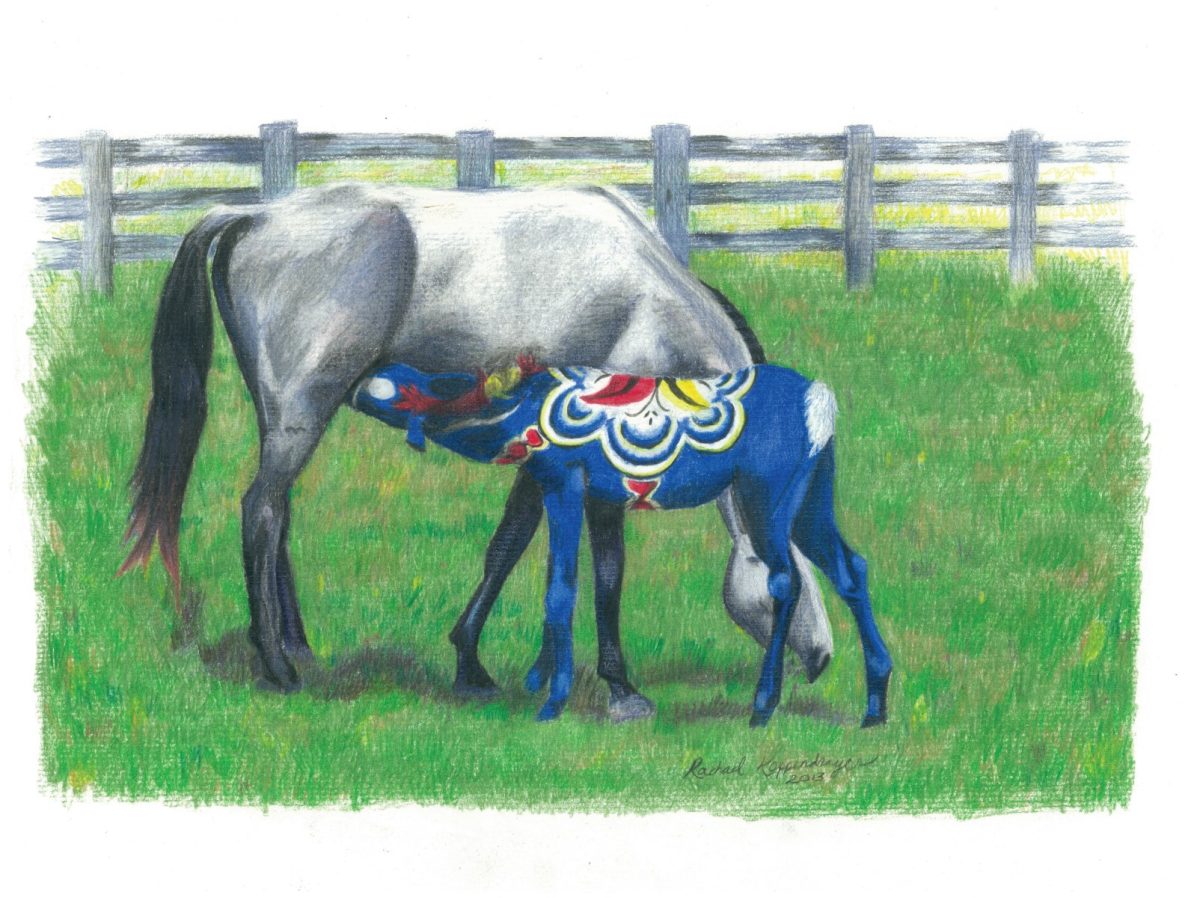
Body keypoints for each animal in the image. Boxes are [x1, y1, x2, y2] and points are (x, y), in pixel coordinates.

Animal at [118, 183, 835, 719]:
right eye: (790, 584)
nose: (825, 658)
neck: (644, 299)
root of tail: (253, 214)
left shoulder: (544, 459)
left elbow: (508, 547)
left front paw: (474, 664)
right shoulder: (600, 469)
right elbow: (607, 574)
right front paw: (621, 688)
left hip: (286, 421)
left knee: (279, 513)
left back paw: (299, 647)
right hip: (300, 415)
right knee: (260, 513)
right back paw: (277, 665)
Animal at [350, 357, 892, 727]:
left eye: (397, 384)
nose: (355, 384)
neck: (515, 412)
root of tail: (819, 402)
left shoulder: (565, 482)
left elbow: (561, 590)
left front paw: (552, 702)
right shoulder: (593, 499)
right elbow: (594, 583)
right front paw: (555, 682)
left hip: (768, 501)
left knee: (785, 580)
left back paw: (763, 705)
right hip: (812, 502)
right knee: (852, 568)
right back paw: (875, 704)